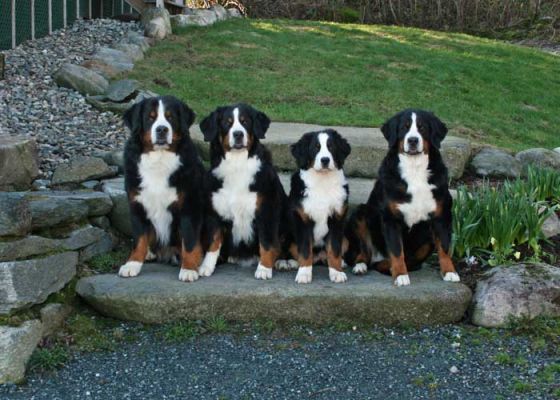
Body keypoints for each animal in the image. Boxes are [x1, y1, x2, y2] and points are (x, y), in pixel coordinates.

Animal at [117, 95, 207, 282]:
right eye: (150, 118)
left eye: (170, 117)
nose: (162, 130)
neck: (159, 160)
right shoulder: (138, 205)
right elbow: (139, 239)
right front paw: (132, 264)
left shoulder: (189, 206)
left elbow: (189, 239)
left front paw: (189, 268)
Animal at [288, 130, 350, 282]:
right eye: (315, 148)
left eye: (331, 147)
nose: (325, 160)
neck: (323, 182)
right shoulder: (303, 220)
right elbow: (305, 250)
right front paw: (304, 274)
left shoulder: (336, 219)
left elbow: (334, 249)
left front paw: (336, 272)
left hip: (345, 239)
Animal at [346, 108, 460, 286]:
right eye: (403, 128)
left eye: (422, 128)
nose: (413, 140)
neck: (414, 169)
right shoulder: (391, 219)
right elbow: (397, 251)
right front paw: (400, 275)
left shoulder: (440, 217)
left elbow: (444, 247)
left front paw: (449, 272)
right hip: (361, 214)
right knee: (366, 252)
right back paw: (361, 266)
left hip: (427, 239)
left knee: (411, 261)